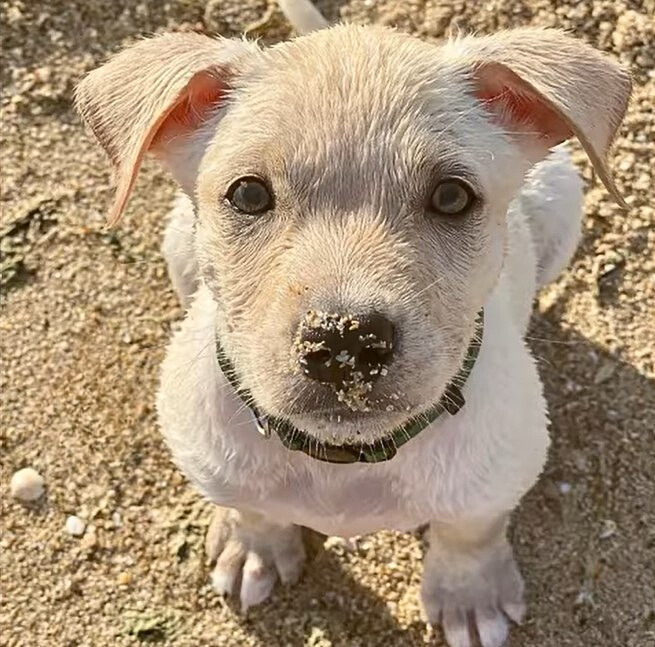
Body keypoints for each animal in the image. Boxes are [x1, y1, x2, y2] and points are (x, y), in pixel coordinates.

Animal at [75, 2, 632, 644]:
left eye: (451, 197)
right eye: (247, 194)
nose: (345, 340)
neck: (343, 459)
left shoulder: (501, 472)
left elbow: (470, 530)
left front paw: (470, 594)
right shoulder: (207, 453)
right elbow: (252, 505)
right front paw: (253, 546)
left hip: (564, 197)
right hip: (176, 245)